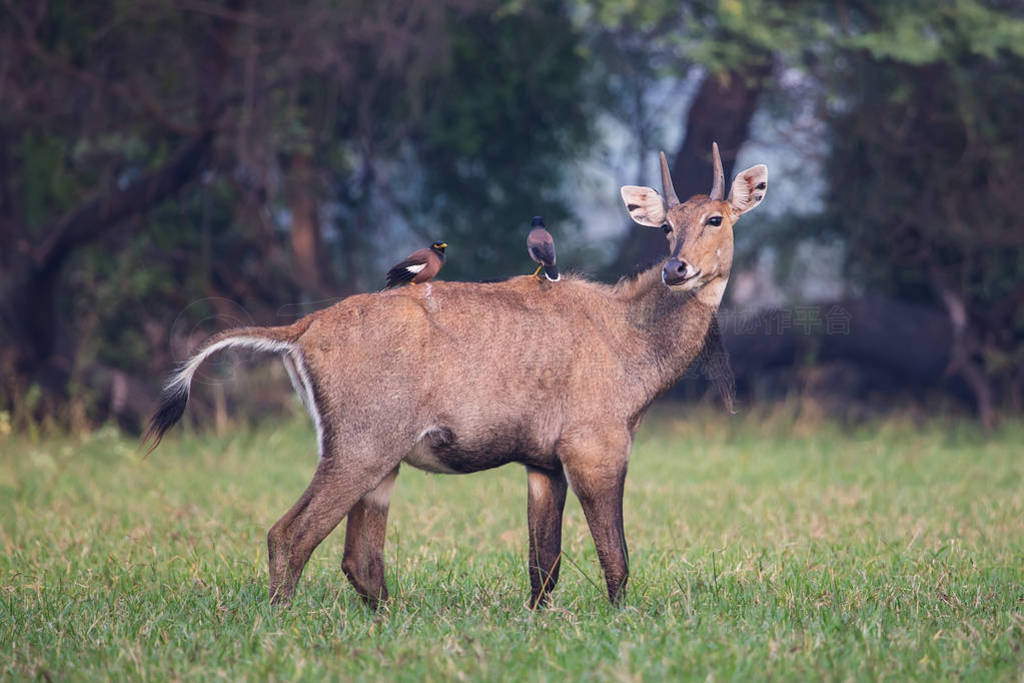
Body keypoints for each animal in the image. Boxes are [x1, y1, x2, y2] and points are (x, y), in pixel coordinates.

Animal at [146, 145, 770, 610]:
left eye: (715, 218)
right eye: (666, 226)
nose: (677, 269)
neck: (629, 335)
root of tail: (302, 329)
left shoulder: (543, 464)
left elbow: (544, 567)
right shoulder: (597, 448)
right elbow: (614, 558)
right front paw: (619, 621)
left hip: (380, 463)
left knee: (359, 559)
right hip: (360, 450)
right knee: (290, 535)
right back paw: (282, 620)